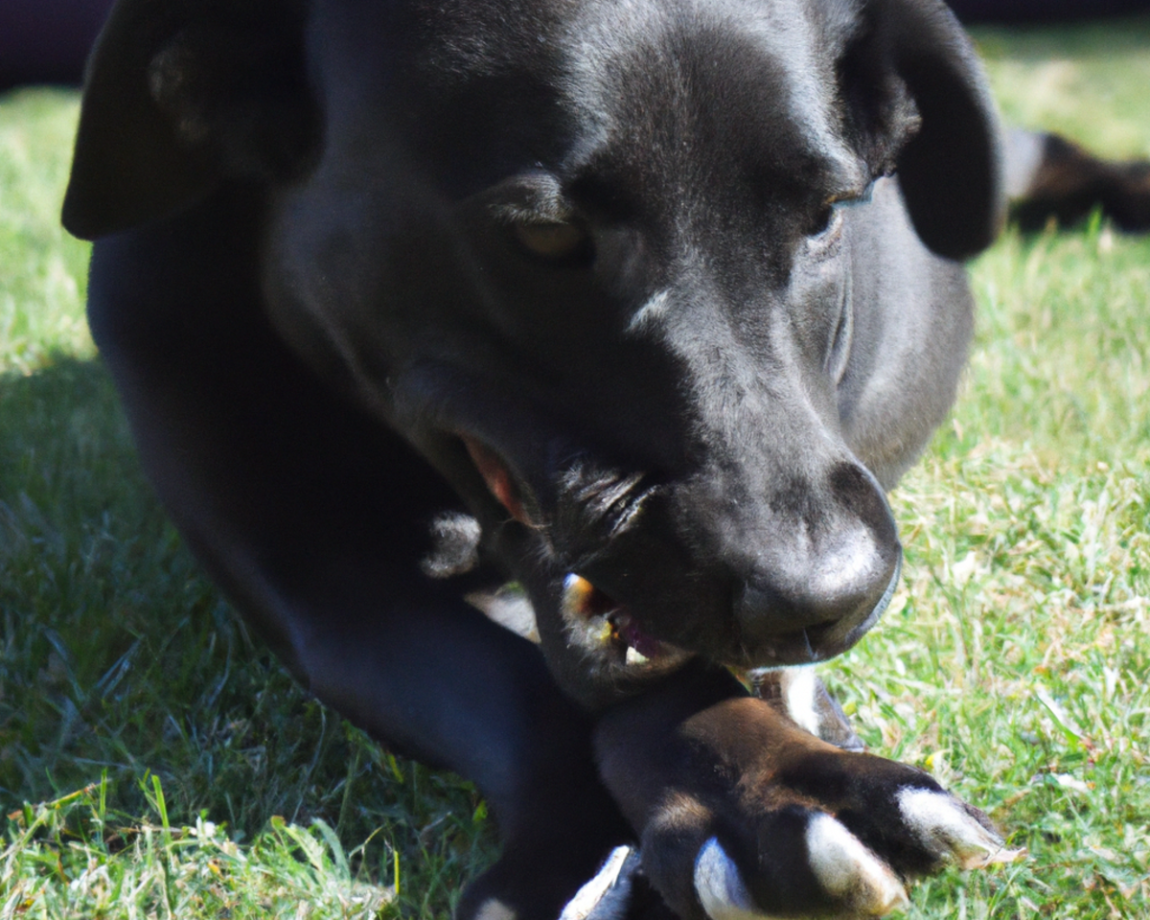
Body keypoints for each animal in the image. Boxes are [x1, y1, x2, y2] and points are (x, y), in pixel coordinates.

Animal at [62, 1, 1016, 920]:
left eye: (826, 212)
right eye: (548, 237)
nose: (825, 597)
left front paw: (772, 775)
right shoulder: (321, 594)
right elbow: (513, 685)